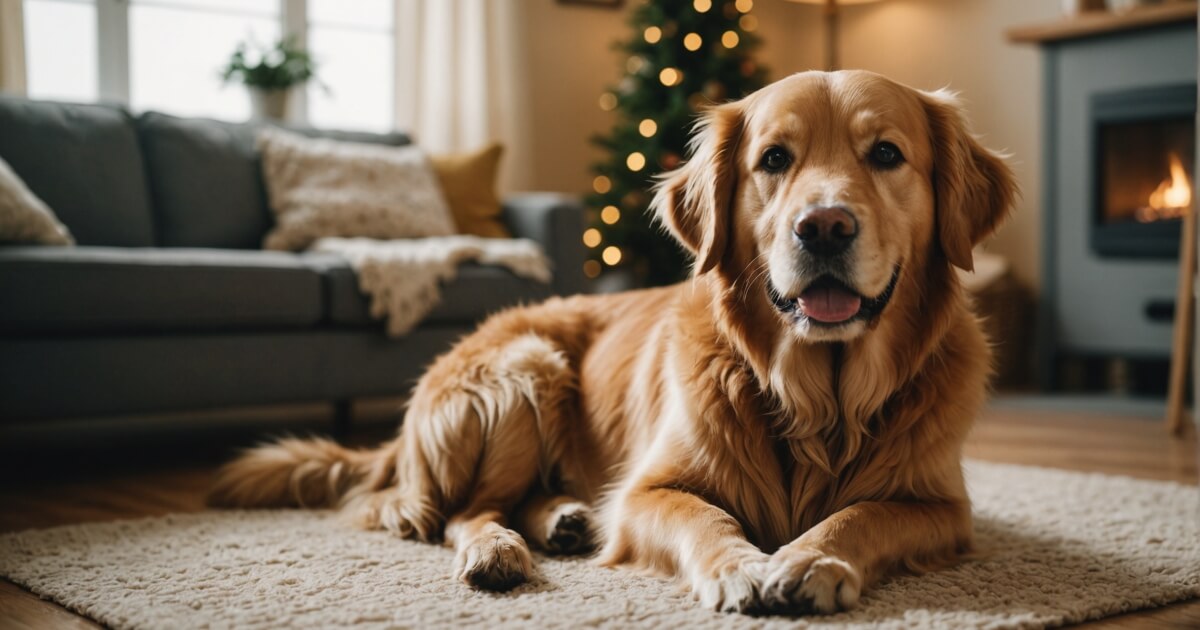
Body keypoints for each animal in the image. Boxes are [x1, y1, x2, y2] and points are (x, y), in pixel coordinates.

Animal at [213, 69, 1012, 614]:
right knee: (464, 511)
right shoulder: (647, 491)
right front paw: (741, 566)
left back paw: (564, 519)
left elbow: (862, 514)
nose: (823, 227)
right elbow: (706, 516)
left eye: (887, 154)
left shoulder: (941, 507)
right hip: (525, 370)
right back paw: (500, 551)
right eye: (774, 160)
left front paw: (814, 558)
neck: (818, 397)